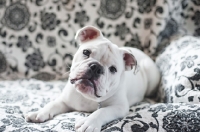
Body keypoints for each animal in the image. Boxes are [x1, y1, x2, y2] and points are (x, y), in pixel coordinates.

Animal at [25, 25, 161, 131]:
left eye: (113, 69)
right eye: (86, 52)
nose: (96, 67)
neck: (87, 97)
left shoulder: (120, 107)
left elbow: (102, 111)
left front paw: (89, 122)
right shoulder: (64, 100)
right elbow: (53, 104)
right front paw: (40, 112)